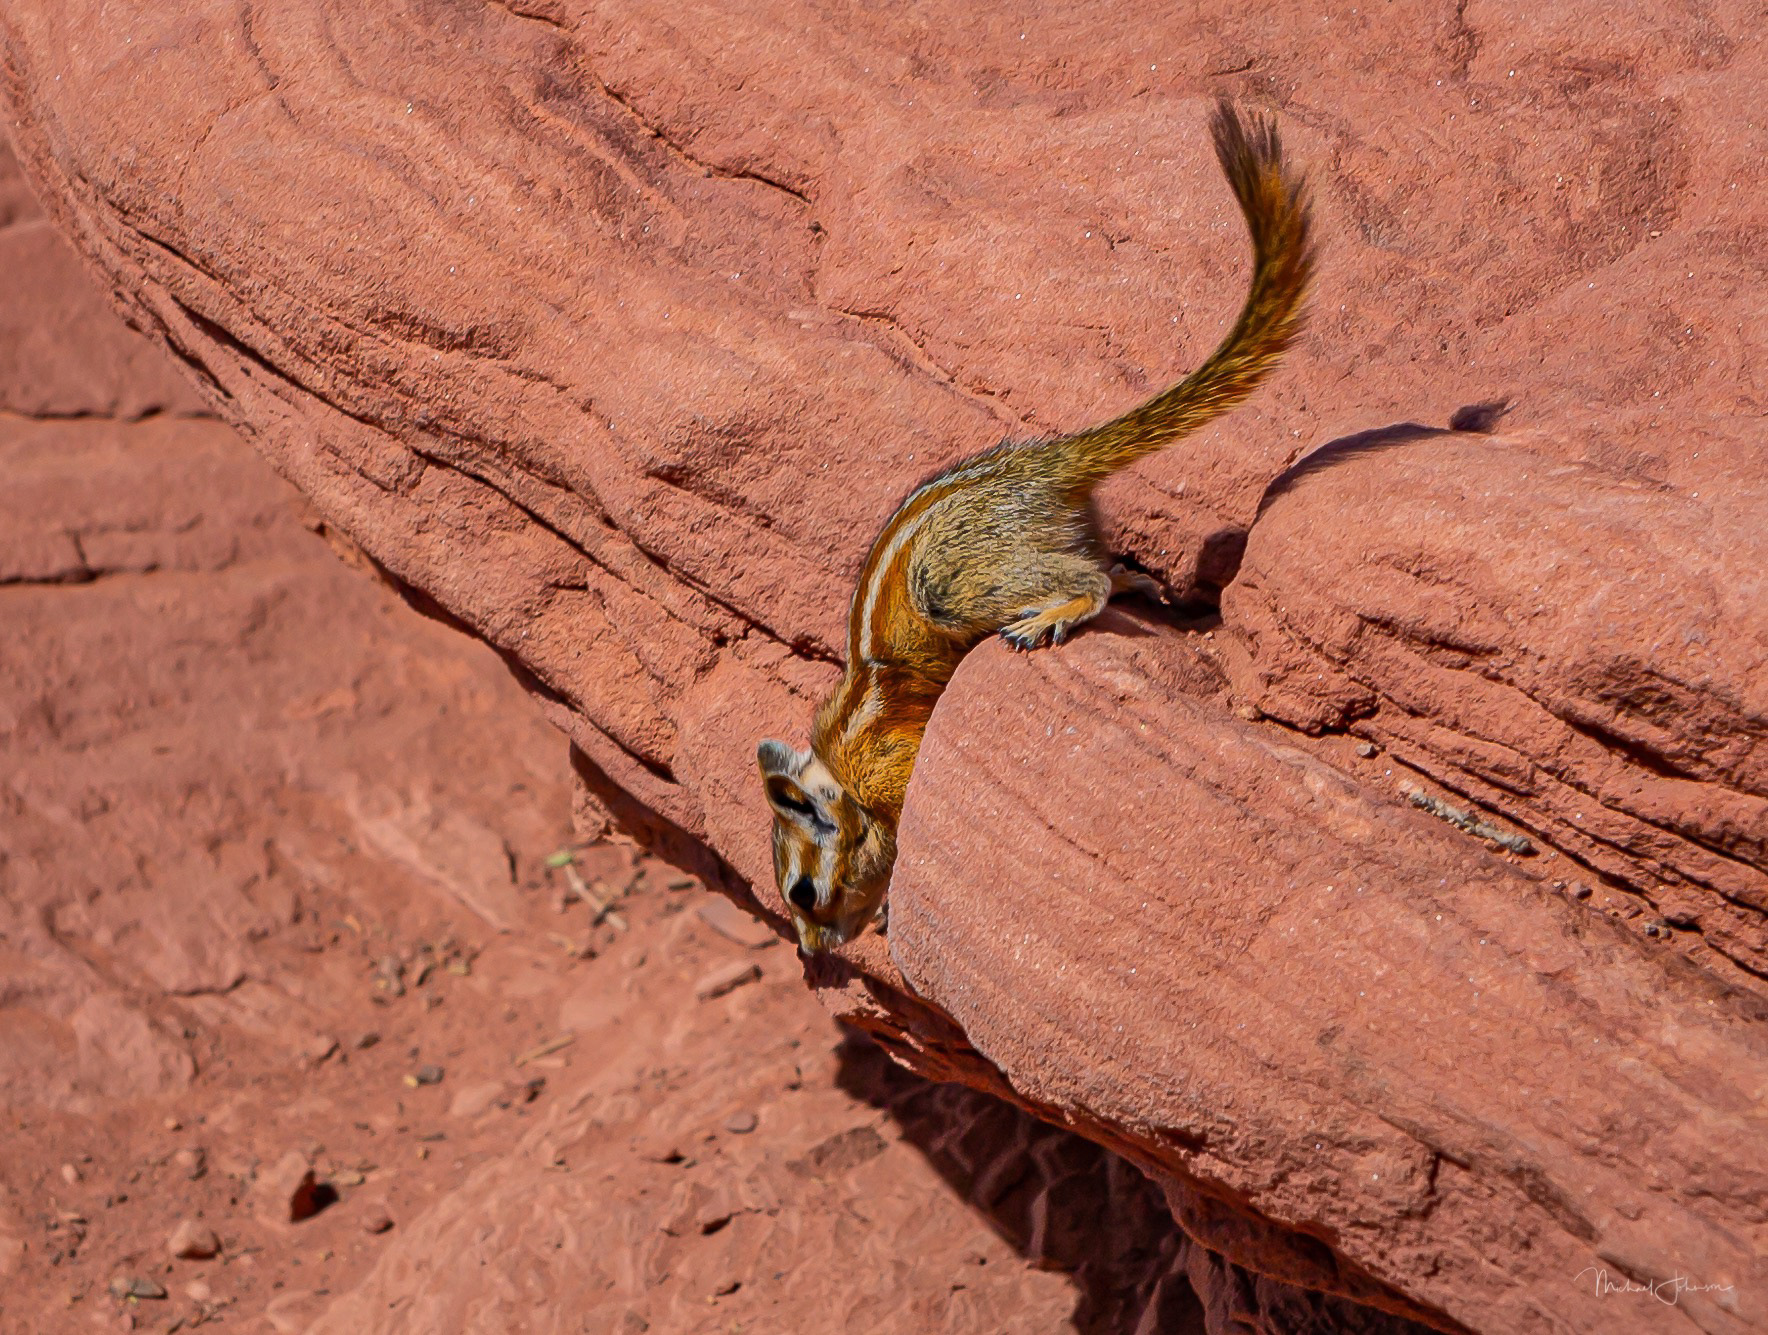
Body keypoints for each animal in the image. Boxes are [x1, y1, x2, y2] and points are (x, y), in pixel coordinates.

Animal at [758, 99, 1315, 953]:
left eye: (805, 892)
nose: (812, 956)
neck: (842, 769)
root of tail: (1048, 462)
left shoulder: (897, 765)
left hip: (951, 578)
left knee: (1081, 578)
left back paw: (1058, 610)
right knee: (1110, 567)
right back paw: (1131, 581)